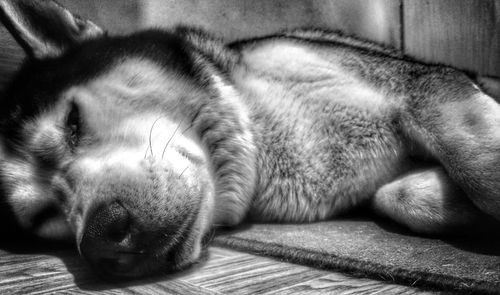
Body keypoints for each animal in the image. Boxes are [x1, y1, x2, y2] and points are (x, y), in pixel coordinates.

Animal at [0, 0, 500, 280]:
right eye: (43, 215)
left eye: (73, 122)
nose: (102, 240)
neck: (257, 125)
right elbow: (399, 196)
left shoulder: (424, 87)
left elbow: (481, 167)